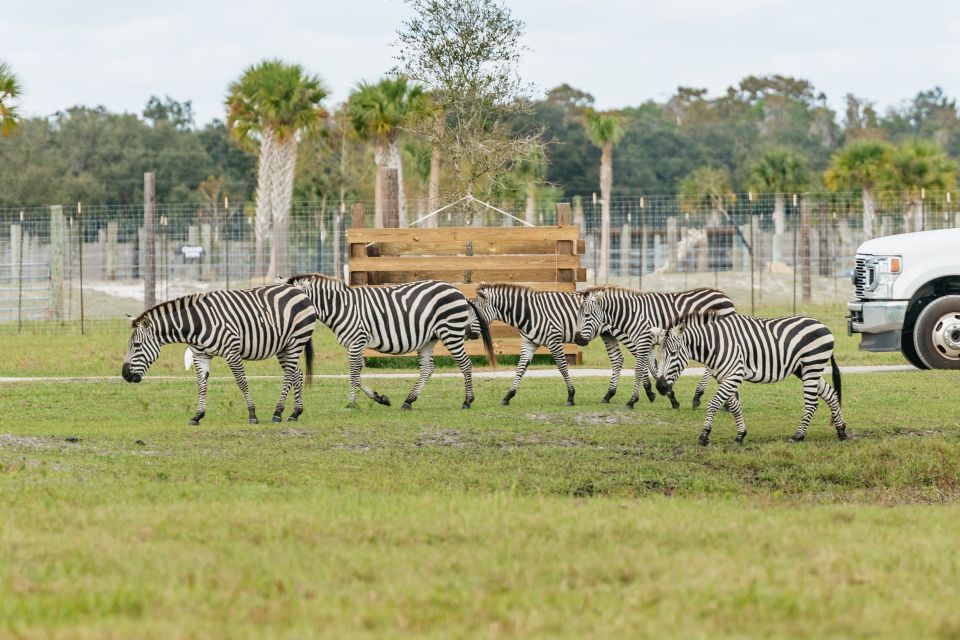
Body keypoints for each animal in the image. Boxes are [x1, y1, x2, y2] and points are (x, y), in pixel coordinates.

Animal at [120, 284, 318, 424]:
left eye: (137, 345)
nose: (125, 375)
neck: (197, 324)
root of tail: (299, 290)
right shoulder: (200, 355)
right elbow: (201, 385)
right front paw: (197, 416)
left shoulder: (231, 351)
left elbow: (242, 382)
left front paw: (252, 415)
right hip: (283, 347)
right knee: (296, 373)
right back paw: (295, 413)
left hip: (296, 340)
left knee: (288, 375)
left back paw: (277, 412)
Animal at [284, 276, 496, 410]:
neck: (341, 307)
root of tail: (457, 291)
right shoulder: (354, 344)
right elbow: (356, 373)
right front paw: (381, 398)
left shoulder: (357, 341)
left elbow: (353, 373)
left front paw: (351, 403)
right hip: (429, 339)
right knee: (428, 369)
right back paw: (409, 400)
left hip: (451, 333)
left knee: (465, 364)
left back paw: (468, 401)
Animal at [470, 284, 624, 404]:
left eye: (476, 313)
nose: (470, 334)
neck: (529, 314)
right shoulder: (528, 344)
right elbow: (520, 368)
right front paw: (508, 396)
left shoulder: (554, 340)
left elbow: (562, 367)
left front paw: (571, 396)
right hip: (607, 334)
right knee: (617, 359)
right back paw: (608, 395)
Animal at [572, 286, 740, 408]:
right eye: (577, 315)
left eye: (586, 315)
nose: (578, 339)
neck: (631, 314)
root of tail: (723, 295)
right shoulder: (649, 343)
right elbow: (654, 368)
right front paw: (669, 397)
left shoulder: (643, 340)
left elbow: (639, 370)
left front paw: (632, 400)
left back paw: (700, 396)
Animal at [652, 314, 848, 444]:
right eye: (659, 353)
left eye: (673, 353)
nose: (661, 387)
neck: (716, 344)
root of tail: (823, 325)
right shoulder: (725, 377)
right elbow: (734, 406)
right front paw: (741, 435)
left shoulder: (735, 374)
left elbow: (714, 403)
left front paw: (704, 434)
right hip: (805, 369)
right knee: (831, 395)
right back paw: (841, 431)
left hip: (812, 365)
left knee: (811, 402)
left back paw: (798, 436)